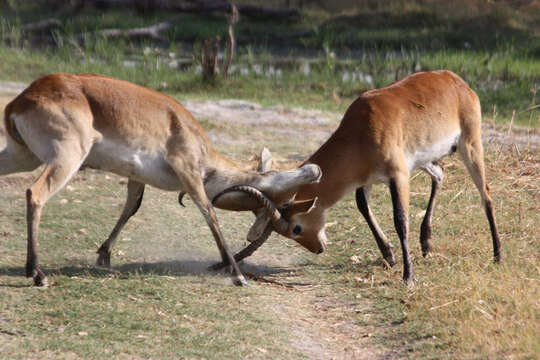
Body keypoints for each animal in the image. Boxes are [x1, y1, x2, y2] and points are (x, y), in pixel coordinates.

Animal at [1, 73, 320, 286]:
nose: (315, 170)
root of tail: (23, 98)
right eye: (270, 177)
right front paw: (238, 276)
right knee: (35, 193)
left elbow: (131, 208)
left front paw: (104, 256)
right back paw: (37, 274)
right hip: (66, 158)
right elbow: (209, 213)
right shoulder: (188, 172)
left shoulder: (136, 178)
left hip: (22, 156)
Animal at [229, 69, 502, 284]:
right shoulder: (367, 179)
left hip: (470, 144)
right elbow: (363, 206)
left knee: (486, 194)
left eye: (296, 228)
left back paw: (498, 255)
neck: (361, 131)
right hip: (427, 160)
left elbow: (400, 220)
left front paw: (408, 276)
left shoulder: (398, 174)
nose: (317, 249)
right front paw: (389, 255)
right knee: (441, 175)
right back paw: (426, 243)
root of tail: (456, 80)